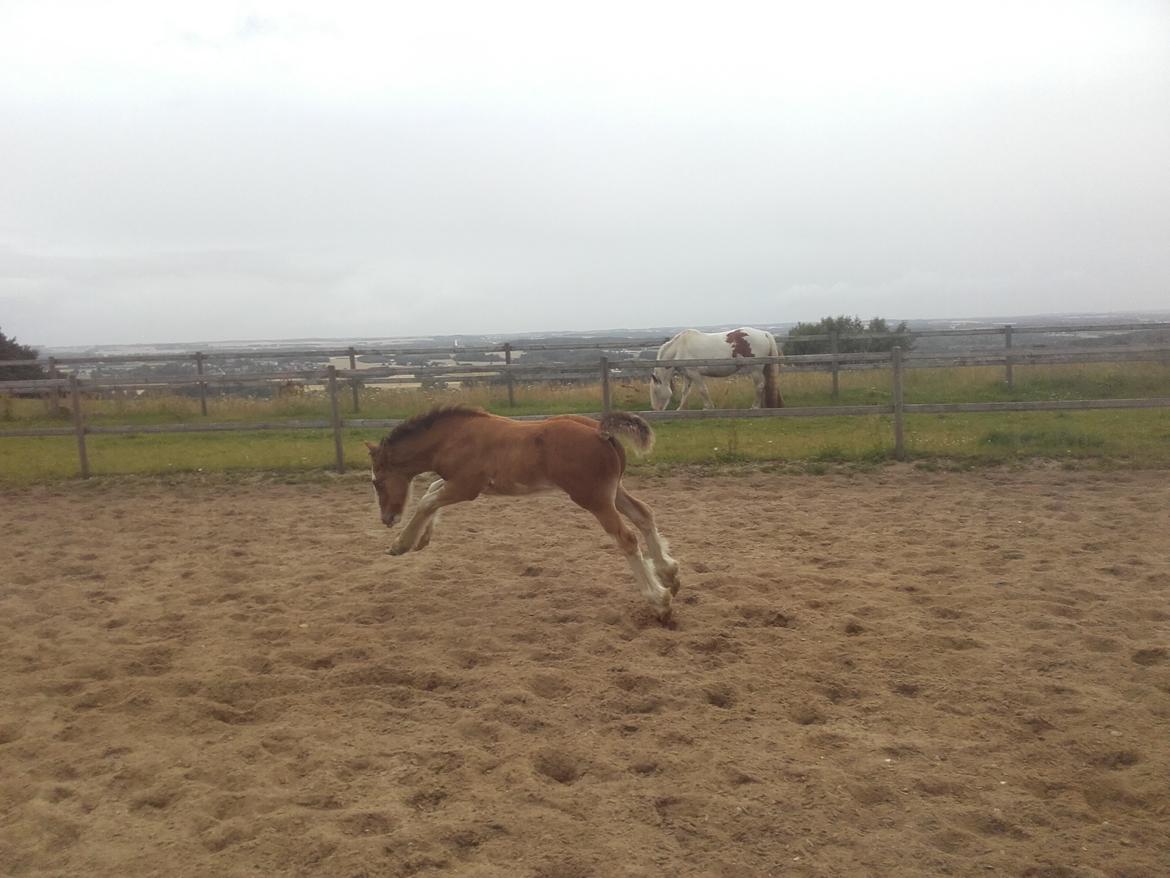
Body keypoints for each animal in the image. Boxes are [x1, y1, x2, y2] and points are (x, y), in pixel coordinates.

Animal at [362, 409, 678, 622]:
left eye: (377, 482)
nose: (387, 518)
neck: (453, 437)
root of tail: (601, 430)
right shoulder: (460, 484)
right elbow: (431, 490)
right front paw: (422, 538)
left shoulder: (466, 487)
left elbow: (427, 500)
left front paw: (401, 544)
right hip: (613, 492)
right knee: (644, 514)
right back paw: (669, 573)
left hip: (595, 499)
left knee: (626, 538)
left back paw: (659, 600)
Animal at [650, 327, 786, 414]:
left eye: (655, 392)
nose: (656, 410)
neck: (679, 348)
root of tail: (764, 333)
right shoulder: (688, 375)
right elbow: (685, 392)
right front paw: (680, 409)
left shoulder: (695, 374)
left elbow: (703, 390)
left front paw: (708, 408)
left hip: (755, 369)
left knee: (759, 386)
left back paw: (755, 407)